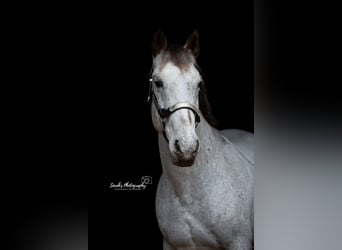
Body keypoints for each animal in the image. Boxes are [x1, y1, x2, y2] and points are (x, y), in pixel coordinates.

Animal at [150, 30, 254, 249]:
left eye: (199, 83)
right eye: (158, 82)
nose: (186, 147)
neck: (188, 194)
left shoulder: (238, 242)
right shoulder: (171, 244)